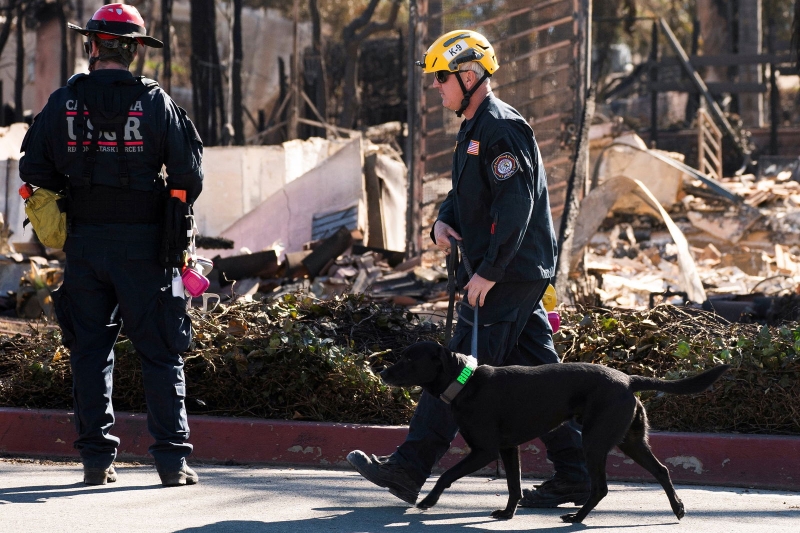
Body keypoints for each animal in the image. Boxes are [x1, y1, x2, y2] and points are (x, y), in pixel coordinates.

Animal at [382, 340, 732, 524]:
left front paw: (427, 502)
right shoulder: (508, 449)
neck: (464, 382)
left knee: (601, 487)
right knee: (662, 471)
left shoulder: (485, 451)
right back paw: (678, 508)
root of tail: (629, 379)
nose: (382, 371)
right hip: (631, 441)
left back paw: (577, 518)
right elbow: (513, 486)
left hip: (595, 442)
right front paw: (507, 514)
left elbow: (445, 474)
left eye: (408, 359)